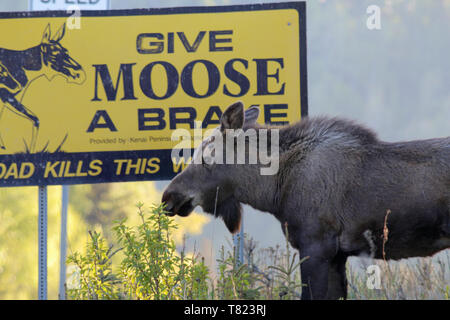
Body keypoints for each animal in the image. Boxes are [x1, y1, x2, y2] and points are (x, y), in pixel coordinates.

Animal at [0, 23, 85, 151]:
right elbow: (36, 120)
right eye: (55, 54)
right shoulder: (6, 94)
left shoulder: (7, 98)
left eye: (66, 51)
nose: (80, 74)